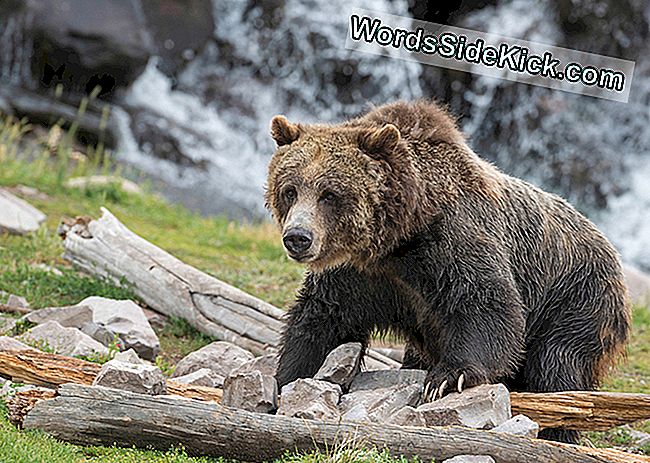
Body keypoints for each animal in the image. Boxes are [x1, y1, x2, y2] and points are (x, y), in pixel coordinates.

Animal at [265, 100, 630, 443]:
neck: (398, 237)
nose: (298, 237)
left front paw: (447, 378)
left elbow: (486, 303)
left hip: (574, 301)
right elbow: (321, 320)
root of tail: (611, 249)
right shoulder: (359, 276)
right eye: (290, 190)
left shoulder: (451, 243)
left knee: (557, 369)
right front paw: (286, 378)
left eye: (330, 194)